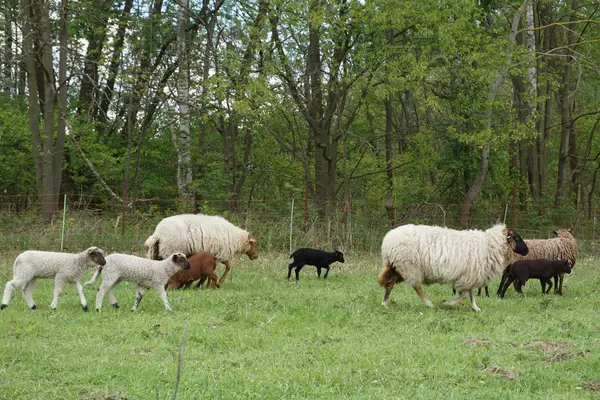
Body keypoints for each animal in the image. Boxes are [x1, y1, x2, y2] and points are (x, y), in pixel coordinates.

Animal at [378, 222, 528, 312]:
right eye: (517, 237)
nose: (527, 251)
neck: (490, 245)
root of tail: (388, 240)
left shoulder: (470, 275)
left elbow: (470, 294)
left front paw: (475, 308)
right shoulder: (468, 276)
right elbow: (466, 294)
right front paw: (447, 303)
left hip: (397, 266)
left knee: (389, 283)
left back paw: (385, 303)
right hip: (410, 267)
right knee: (416, 287)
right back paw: (429, 304)